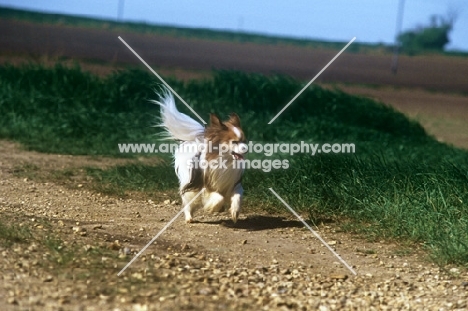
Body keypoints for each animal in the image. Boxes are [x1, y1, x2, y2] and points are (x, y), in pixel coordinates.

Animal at [154, 90, 249, 224]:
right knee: (188, 203)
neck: (224, 161)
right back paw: (189, 217)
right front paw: (214, 208)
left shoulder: (233, 184)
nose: (246, 148)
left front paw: (235, 212)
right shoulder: (204, 188)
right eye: (234, 142)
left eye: (244, 141)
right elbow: (218, 197)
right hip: (189, 185)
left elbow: (237, 196)